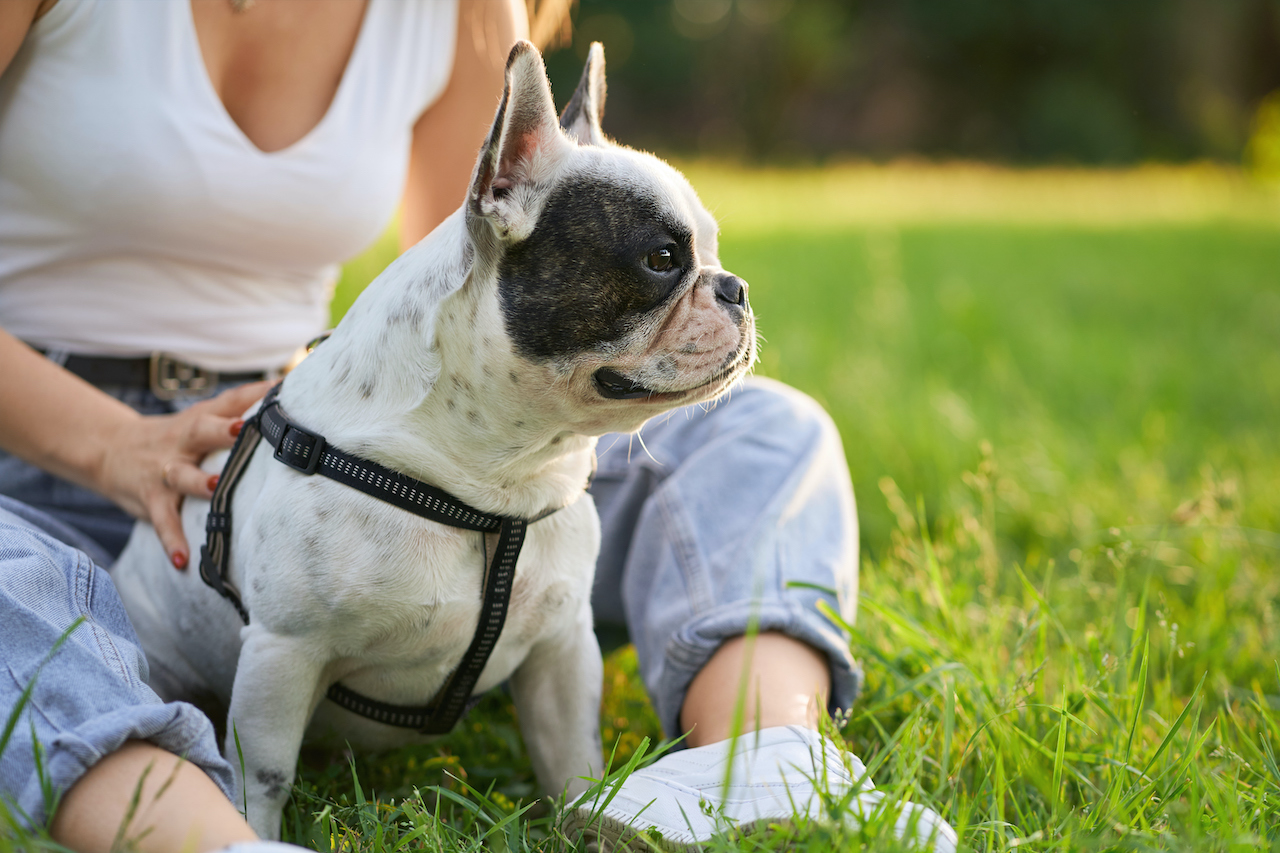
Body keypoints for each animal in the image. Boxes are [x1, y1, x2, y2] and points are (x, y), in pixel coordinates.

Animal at [110, 41, 752, 835]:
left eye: (709, 252)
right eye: (662, 259)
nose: (735, 287)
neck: (498, 478)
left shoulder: (561, 650)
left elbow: (573, 766)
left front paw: (585, 828)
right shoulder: (282, 655)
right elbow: (263, 780)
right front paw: (257, 831)